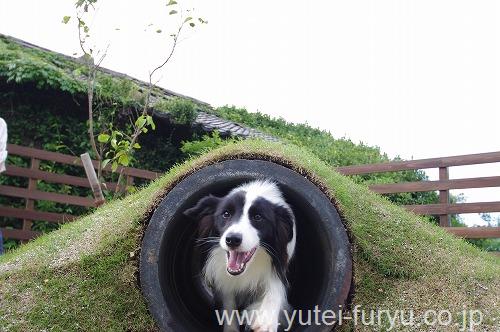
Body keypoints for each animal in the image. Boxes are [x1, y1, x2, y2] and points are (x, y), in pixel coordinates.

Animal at [185, 180, 296, 330]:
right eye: (226, 214)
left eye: (258, 217)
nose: (232, 239)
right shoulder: (224, 280)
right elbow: (228, 307)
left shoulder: (280, 260)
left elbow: (276, 285)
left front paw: (265, 321)